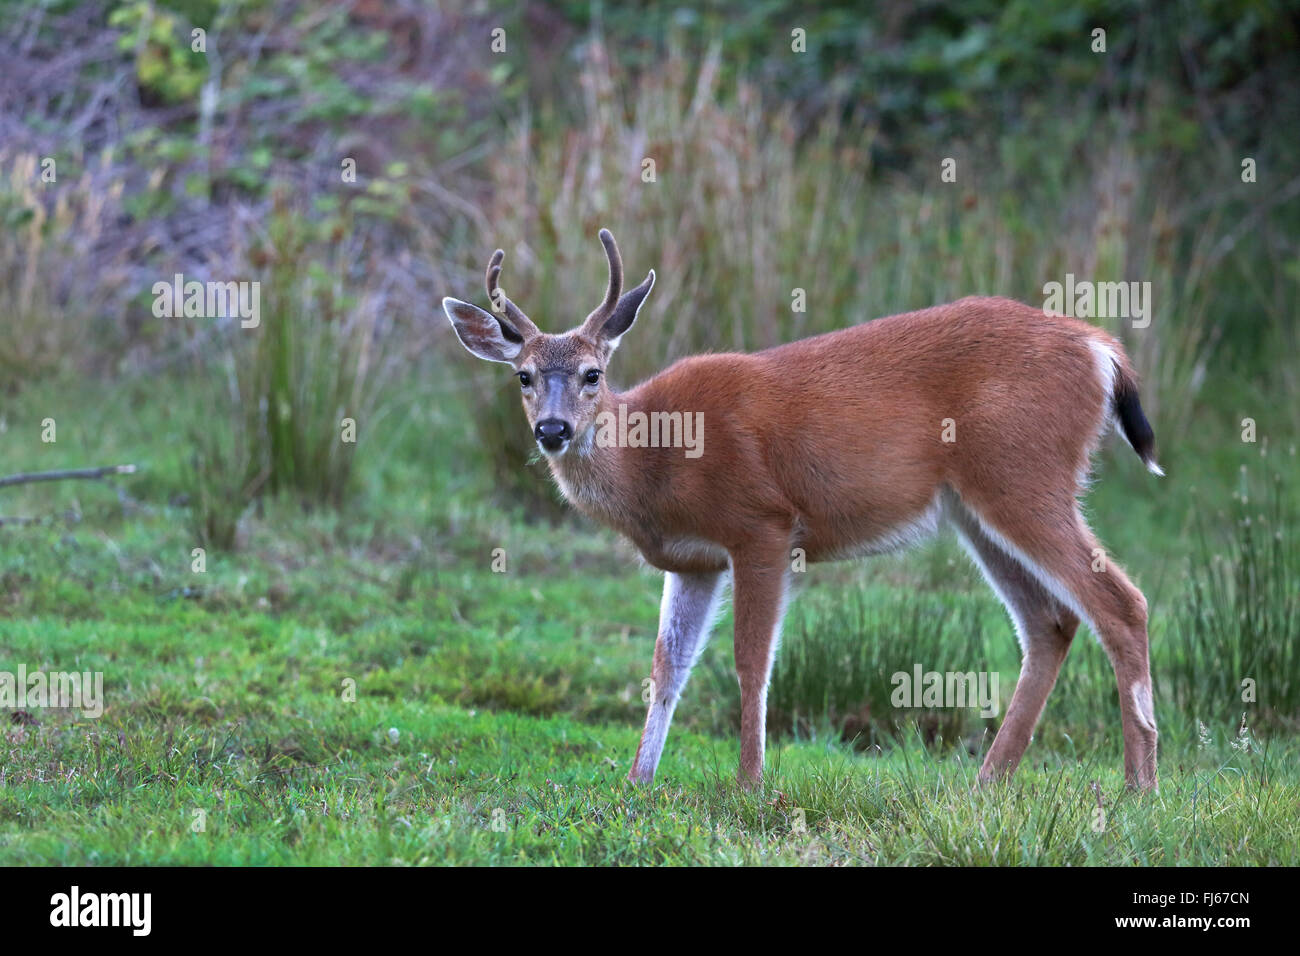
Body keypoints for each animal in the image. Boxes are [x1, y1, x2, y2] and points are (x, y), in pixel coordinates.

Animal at [441, 230, 1164, 790]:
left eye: (593, 374)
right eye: (523, 377)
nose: (553, 430)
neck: (657, 456)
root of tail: (1102, 350)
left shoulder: (761, 523)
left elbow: (751, 662)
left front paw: (749, 783)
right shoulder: (694, 561)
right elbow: (666, 667)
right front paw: (638, 781)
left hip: (1024, 474)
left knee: (1122, 603)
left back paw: (1138, 788)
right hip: (976, 506)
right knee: (1050, 623)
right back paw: (989, 781)